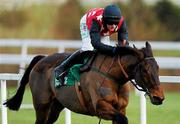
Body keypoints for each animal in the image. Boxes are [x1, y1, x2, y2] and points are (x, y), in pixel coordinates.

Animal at [3, 42, 165, 124]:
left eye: (157, 67)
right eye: (145, 70)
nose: (159, 97)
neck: (113, 76)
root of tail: (41, 59)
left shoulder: (120, 108)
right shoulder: (101, 107)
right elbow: (123, 119)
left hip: (56, 105)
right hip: (41, 104)